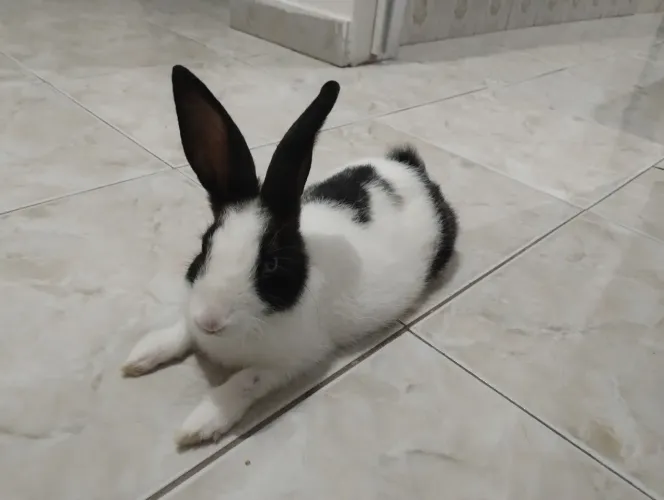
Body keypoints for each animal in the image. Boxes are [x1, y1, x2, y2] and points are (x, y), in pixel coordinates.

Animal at [122, 65, 458, 447]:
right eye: (205, 246)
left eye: (271, 264)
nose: (210, 320)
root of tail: (411, 169)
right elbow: (180, 331)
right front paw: (142, 355)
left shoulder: (293, 360)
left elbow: (245, 380)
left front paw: (201, 424)